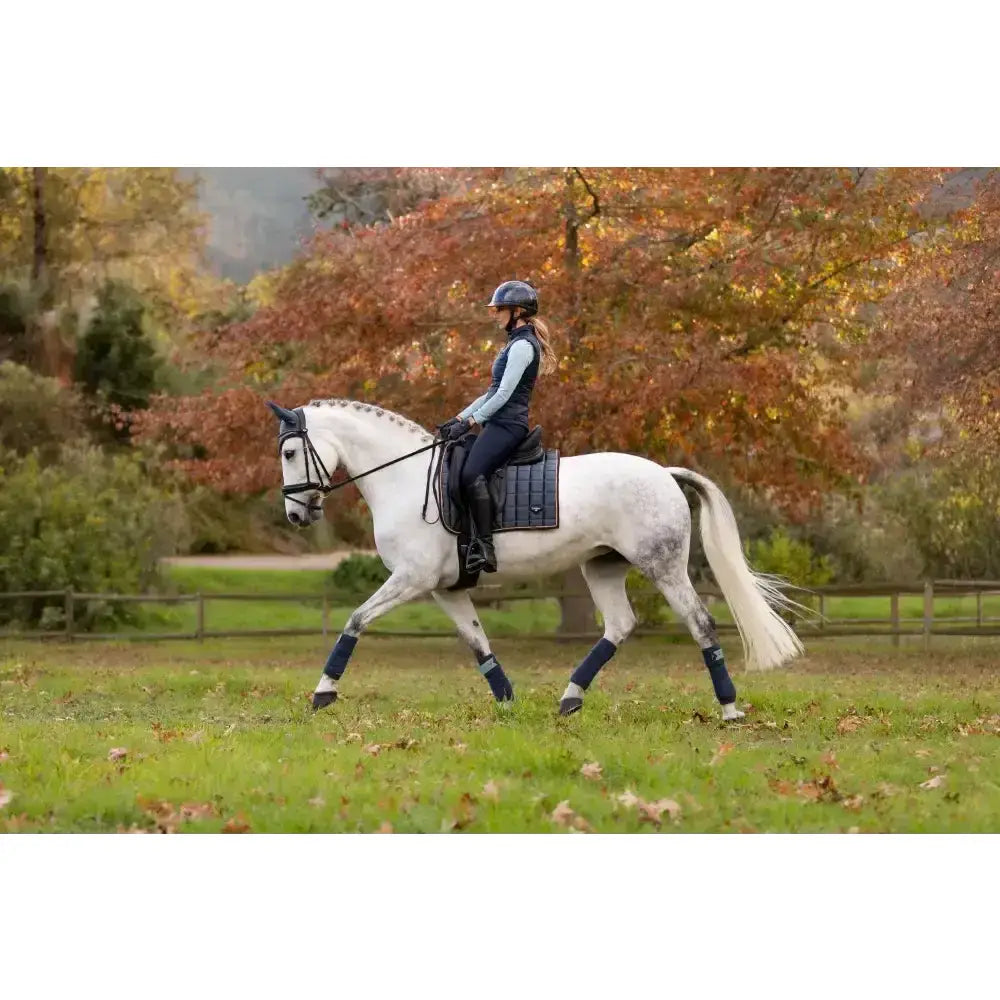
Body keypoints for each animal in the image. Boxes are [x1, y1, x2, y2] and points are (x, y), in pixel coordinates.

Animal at [266, 398, 804, 718]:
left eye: (290, 453)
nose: (296, 514)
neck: (405, 477)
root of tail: (664, 473)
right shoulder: (444, 589)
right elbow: (478, 643)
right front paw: (507, 702)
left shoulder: (412, 579)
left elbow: (355, 620)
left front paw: (323, 692)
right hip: (602, 566)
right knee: (619, 626)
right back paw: (570, 698)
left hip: (663, 566)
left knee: (701, 624)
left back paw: (729, 709)